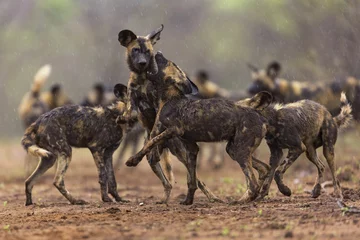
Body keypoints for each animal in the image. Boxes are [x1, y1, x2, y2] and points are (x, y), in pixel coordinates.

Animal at [118, 24, 224, 204]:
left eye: (148, 52)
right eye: (135, 50)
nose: (143, 63)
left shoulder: (158, 110)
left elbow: (153, 135)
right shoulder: (133, 98)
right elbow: (130, 112)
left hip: (180, 151)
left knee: (194, 176)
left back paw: (211, 196)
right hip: (163, 157)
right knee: (167, 177)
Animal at [122, 51, 272, 204]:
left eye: (168, 62)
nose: (158, 52)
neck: (169, 98)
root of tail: (261, 117)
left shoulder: (173, 130)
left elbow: (150, 143)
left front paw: (133, 160)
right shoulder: (191, 148)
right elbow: (191, 180)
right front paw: (188, 201)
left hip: (240, 151)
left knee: (252, 182)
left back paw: (242, 201)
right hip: (233, 150)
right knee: (265, 169)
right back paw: (258, 196)